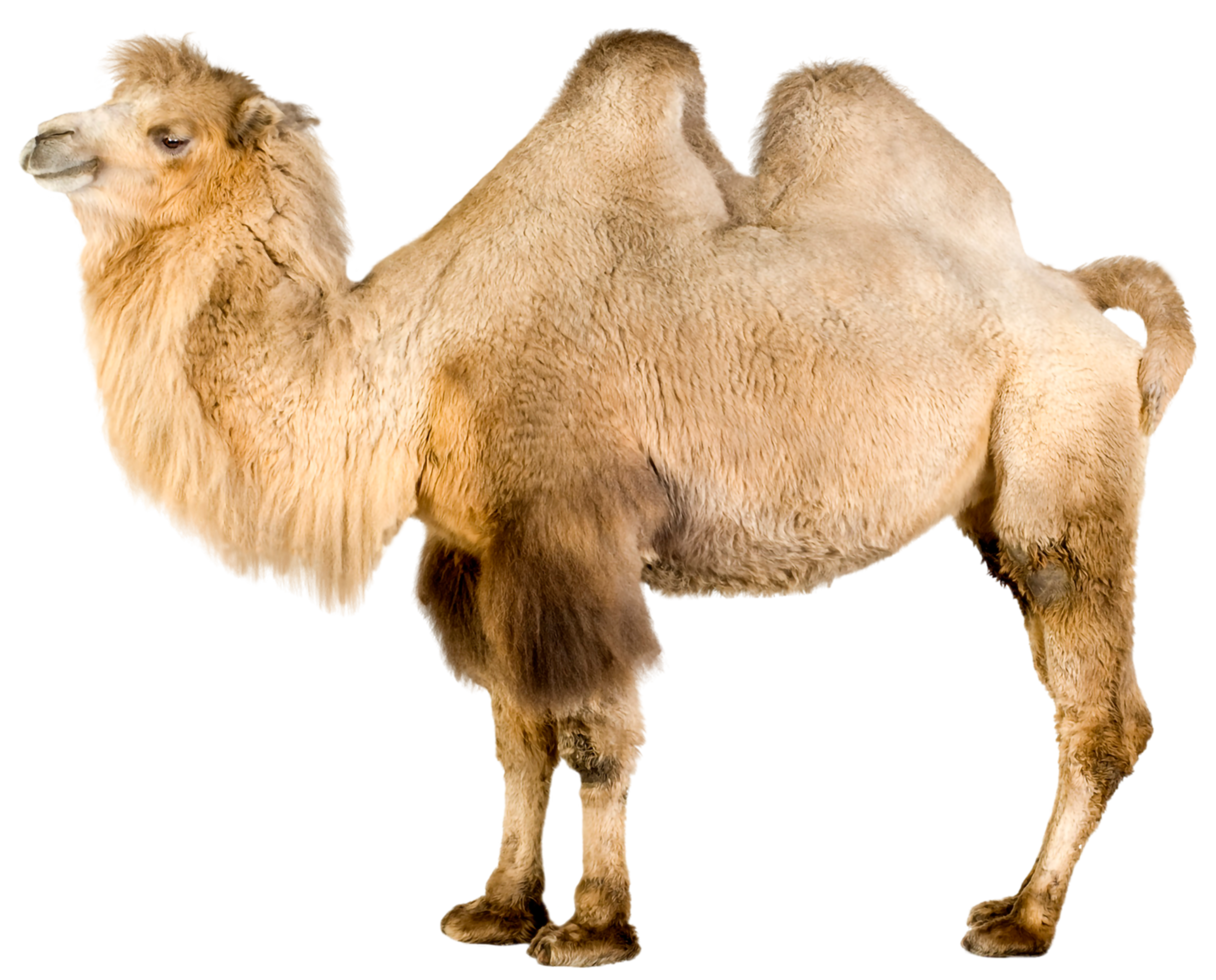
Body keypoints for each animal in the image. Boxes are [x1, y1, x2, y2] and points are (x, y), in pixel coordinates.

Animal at [18, 26, 1197, 966]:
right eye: (104, 92)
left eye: (173, 134)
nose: (43, 139)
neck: (409, 358)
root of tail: (1082, 299)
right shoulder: (476, 549)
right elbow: (515, 735)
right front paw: (494, 910)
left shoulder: (569, 533)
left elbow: (596, 736)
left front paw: (588, 932)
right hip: (1002, 494)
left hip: (1063, 453)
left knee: (1096, 701)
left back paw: (1021, 920)